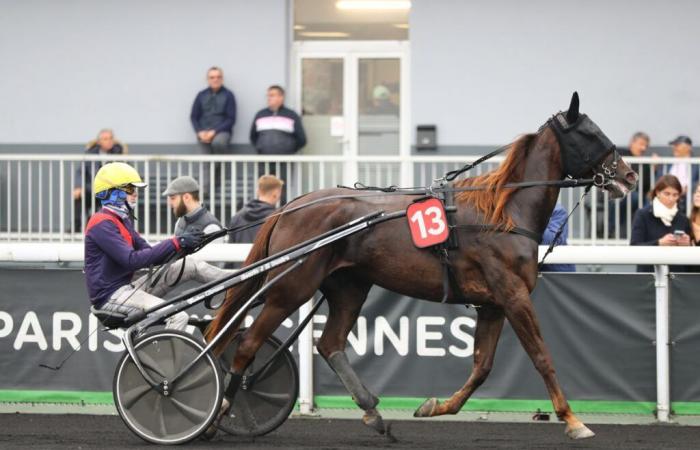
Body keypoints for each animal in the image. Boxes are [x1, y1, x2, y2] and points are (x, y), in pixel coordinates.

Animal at [205, 94, 636, 440]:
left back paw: (373, 412)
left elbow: (482, 367)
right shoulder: (513, 295)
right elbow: (542, 357)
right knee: (248, 342)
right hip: (291, 288)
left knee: (329, 343)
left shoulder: (493, 304)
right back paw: (219, 410)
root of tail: (291, 206)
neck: (504, 212)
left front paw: (434, 406)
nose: (630, 176)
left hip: (349, 287)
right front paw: (574, 420)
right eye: (591, 133)